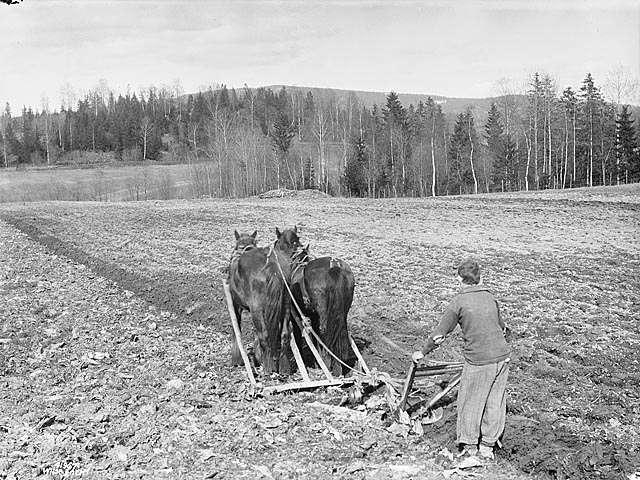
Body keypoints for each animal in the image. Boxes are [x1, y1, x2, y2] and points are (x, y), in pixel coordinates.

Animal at [228, 230, 292, 376]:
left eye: (235, 245)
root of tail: (273, 266)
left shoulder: (236, 304)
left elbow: (237, 328)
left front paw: (237, 359)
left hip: (256, 310)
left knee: (264, 335)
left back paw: (268, 367)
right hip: (286, 307)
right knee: (285, 334)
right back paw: (284, 366)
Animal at [274, 228, 356, 376]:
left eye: (277, 244)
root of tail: (334, 266)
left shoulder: (296, 315)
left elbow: (299, 335)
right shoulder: (314, 315)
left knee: (325, 331)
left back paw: (327, 362)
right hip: (341, 310)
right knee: (339, 331)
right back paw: (337, 366)